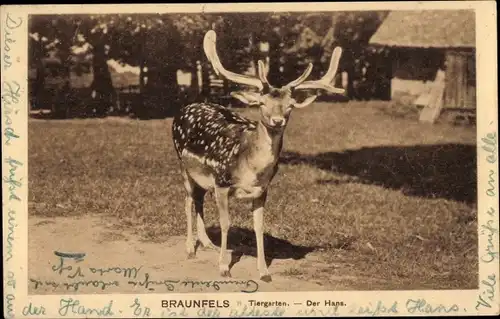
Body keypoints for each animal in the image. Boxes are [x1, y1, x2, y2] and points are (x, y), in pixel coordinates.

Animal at [172, 30, 344, 282]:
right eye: (262, 103)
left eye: (290, 105)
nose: (277, 120)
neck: (251, 170)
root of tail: (185, 108)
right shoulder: (221, 182)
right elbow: (226, 223)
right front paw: (223, 267)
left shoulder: (262, 190)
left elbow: (259, 226)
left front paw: (264, 272)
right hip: (183, 165)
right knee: (187, 201)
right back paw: (189, 248)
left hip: (202, 177)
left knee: (199, 198)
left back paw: (206, 243)